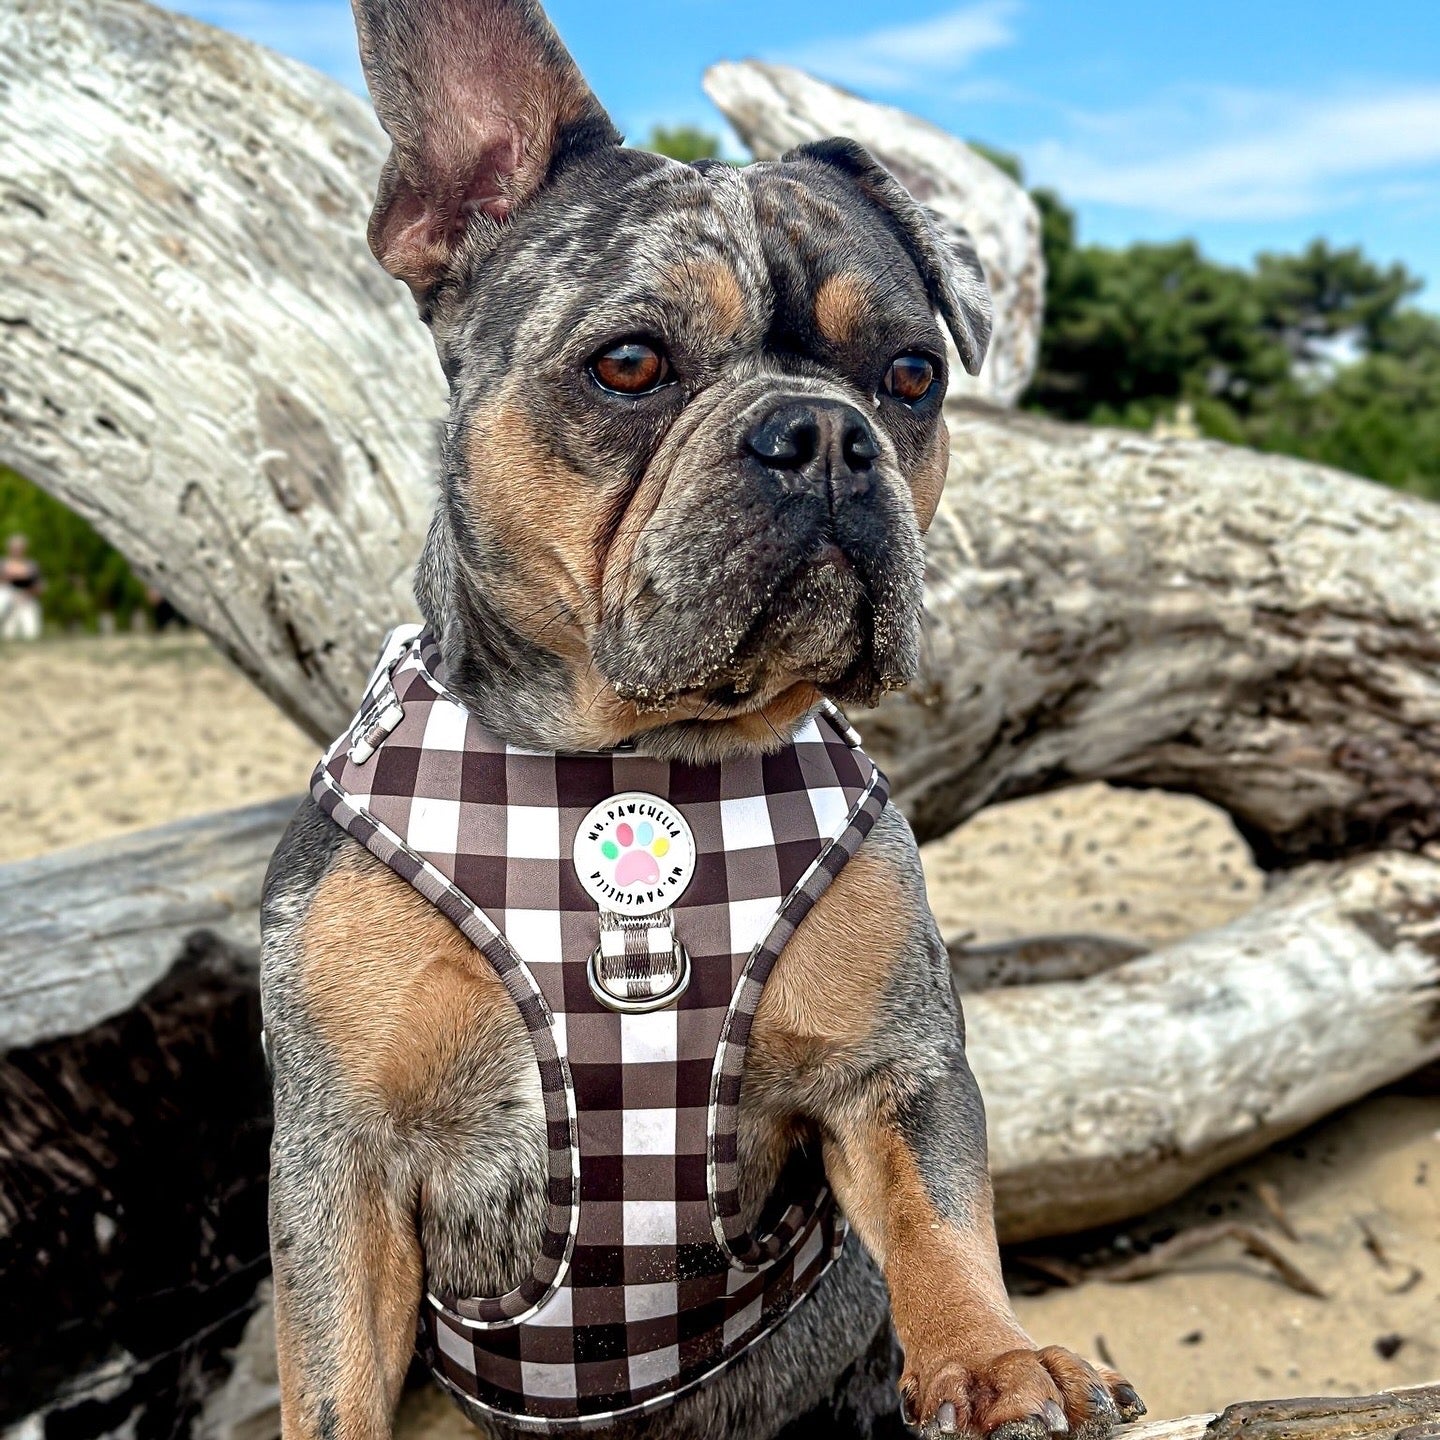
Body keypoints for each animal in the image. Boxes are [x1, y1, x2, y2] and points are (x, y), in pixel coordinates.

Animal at [260, 3, 1147, 1438]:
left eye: (911, 376)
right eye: (631, 363)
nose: (827, 435)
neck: (637, 755)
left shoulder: (892, 1072)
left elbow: (941, 1218)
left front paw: (1002, 1357)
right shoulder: (341, 1158)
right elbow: (333, 1378)